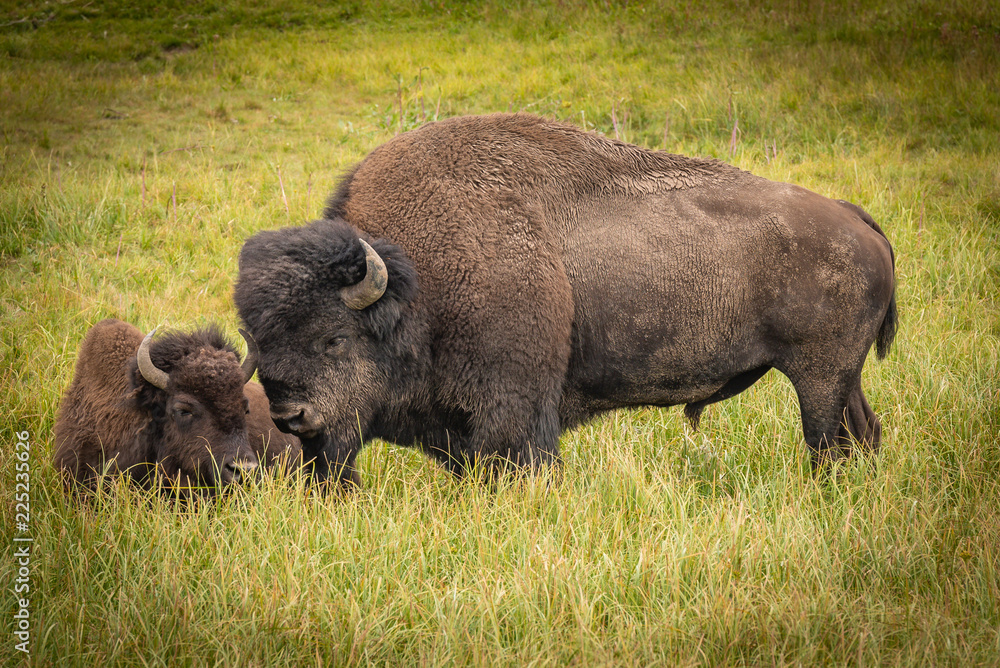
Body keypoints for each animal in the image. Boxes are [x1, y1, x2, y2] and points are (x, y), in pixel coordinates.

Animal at [236, 111, 900, 486]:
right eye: (260, 345)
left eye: (332, 338)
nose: (291, 417)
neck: (419, 282)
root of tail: (853, 217)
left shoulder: (513, 411)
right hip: (842, 376)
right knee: (861, 433)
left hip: (817, 375)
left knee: (826, 441)